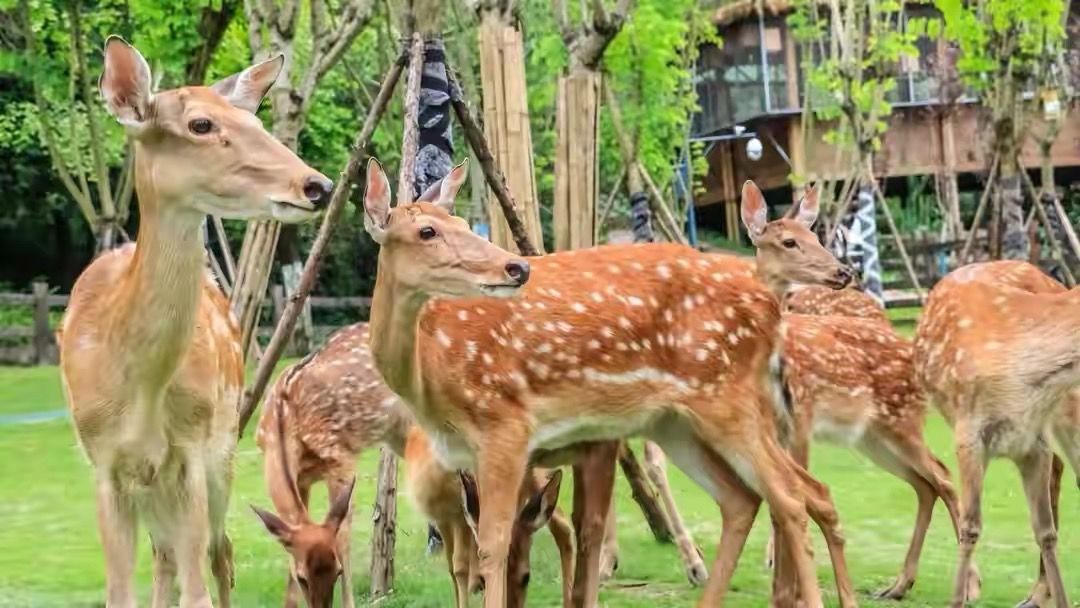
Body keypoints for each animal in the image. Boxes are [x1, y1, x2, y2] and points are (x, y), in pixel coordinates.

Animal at [58, 38, 328, 608]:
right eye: (200, 124)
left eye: (256, 120)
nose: (317, 184)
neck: (139, 390)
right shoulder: (103, 462)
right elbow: (120, 592)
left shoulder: (190, 451)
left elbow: (198, 588)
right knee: (166, 557)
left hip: (223, 445)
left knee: (218, 554)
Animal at [250, 321, 583, 604]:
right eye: (302, 578)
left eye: (338, 572)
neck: (286, 420)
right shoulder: (303, 479)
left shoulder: (340, 457)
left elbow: (343, 537)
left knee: (559, 518)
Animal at [362, 158, 859, 608]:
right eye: (427, 231)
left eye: (463, 222)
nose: (515, 268)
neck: (431, 380)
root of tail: (771, 306)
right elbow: (484, 554)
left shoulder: (508, 427)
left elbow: (500, 545)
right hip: (678, 423)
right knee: (748, 499)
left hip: (725, 398)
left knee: (789, 496)